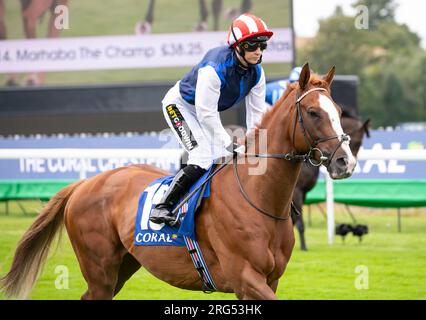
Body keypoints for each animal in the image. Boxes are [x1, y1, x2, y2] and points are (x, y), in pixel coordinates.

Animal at [0, 63, 356, 300]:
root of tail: (85, 185)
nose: (345, 161)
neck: (259, 198)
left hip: (122, 266)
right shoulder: (245, 277)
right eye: (313, 112)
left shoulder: (269, 279)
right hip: (99, 268)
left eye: (338, 110)